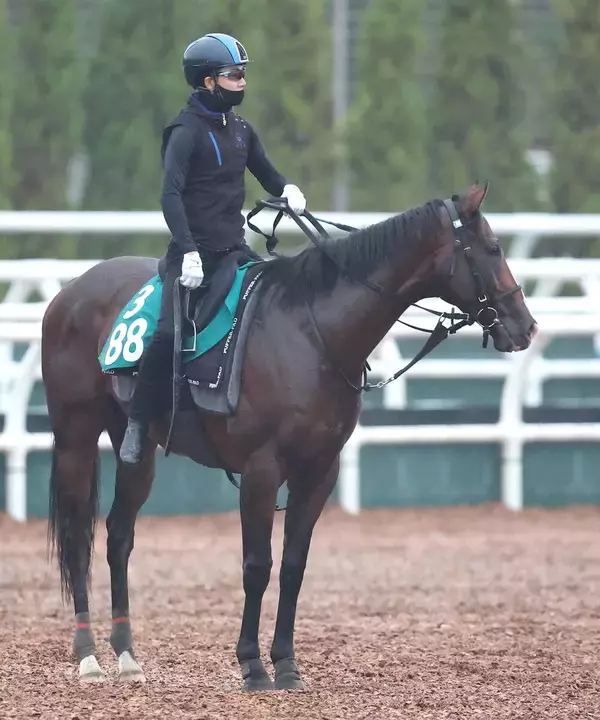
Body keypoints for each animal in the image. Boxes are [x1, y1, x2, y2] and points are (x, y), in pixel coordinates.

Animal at [41, 182, 537, 689]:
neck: (312, 332)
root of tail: (70, 292)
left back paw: (126, 654)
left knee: (119, 536)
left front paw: (285, 663)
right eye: (493, 248)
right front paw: (253, 664)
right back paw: (88, 656)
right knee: (78, 540)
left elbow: (294, 566)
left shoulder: (319, 471)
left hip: (135, 449)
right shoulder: (261, 471)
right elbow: (257, 566)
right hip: (77, 434)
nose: (526, 327)